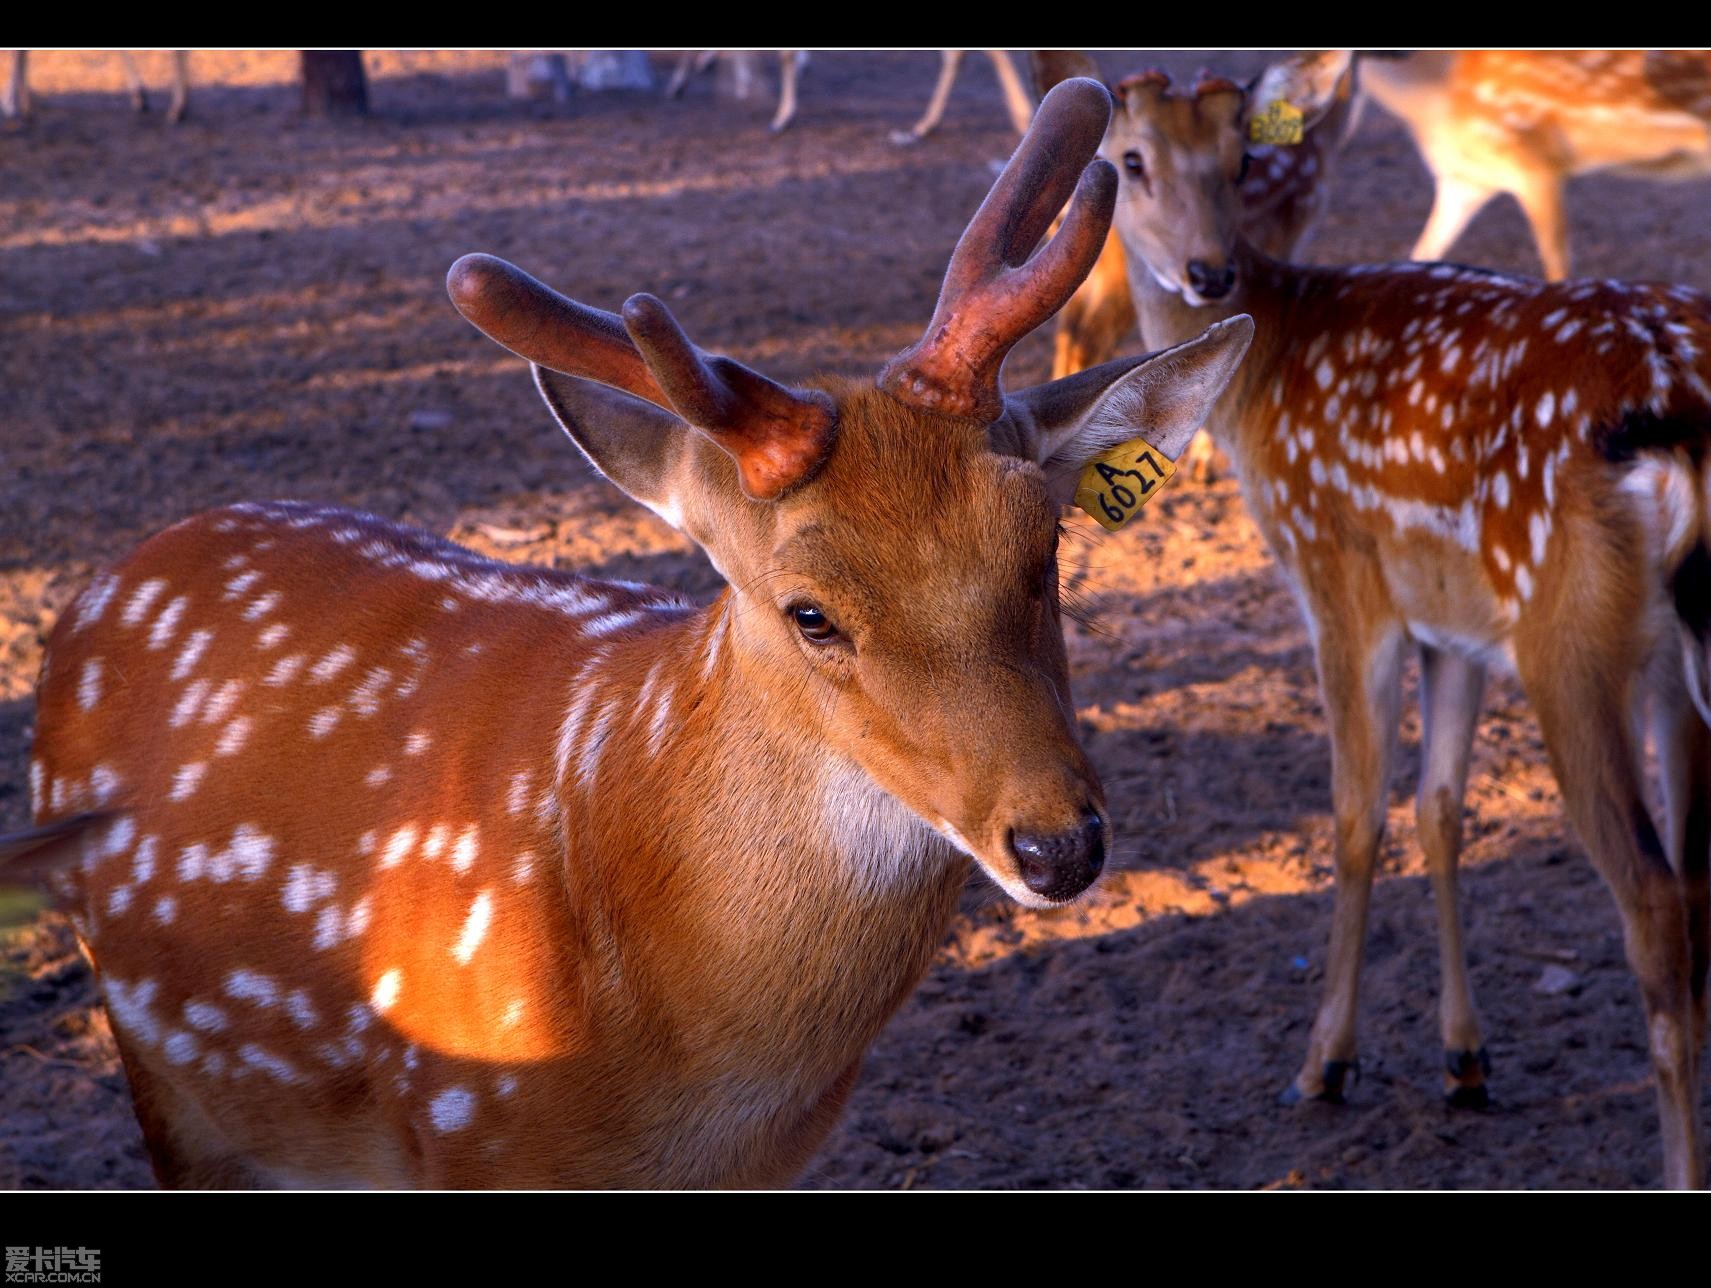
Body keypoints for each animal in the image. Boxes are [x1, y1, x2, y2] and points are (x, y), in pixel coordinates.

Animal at [6, 77, 1252, 1183]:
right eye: (809, 613)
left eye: (1042, 549)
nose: (1058, 844)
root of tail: (104, 583)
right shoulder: (473, 1133)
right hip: (164, 1070)